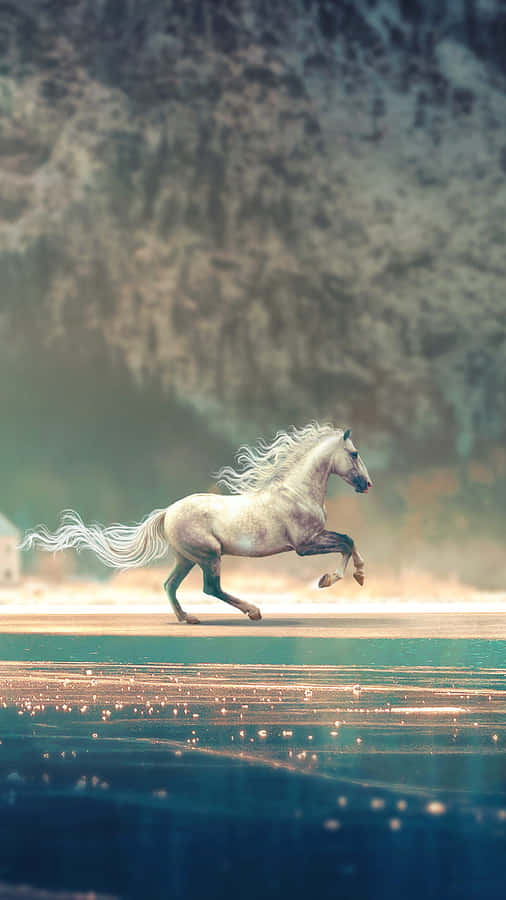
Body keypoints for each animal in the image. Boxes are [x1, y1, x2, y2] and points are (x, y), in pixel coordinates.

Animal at [20, 422, 372, 624]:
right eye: (354, 454)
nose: (367, 485)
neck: (296, 491)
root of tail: (167, 512)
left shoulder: (312, 539)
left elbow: (348, 540)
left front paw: (347, 577)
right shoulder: (304, 544)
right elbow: (348, 540)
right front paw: (339, 578)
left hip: (186, 558)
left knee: (170, 585)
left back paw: (188, 618)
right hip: (208, 555)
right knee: (210, 587)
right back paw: (253, 612)